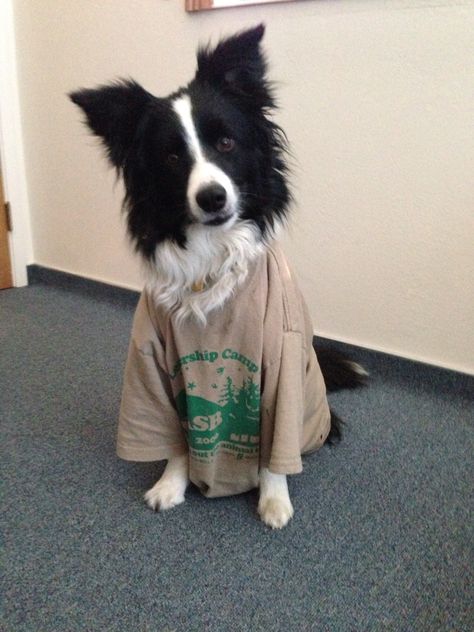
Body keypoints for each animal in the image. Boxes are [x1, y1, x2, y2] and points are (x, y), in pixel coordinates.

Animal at [70, 24, 366, 528]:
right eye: (171, 157)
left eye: (226, 143)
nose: (211, 197)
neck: (210, 258)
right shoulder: (151, 361)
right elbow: (173, 435)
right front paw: (171, 484)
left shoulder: (282, 363)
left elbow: (274, 445)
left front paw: (273, 500)